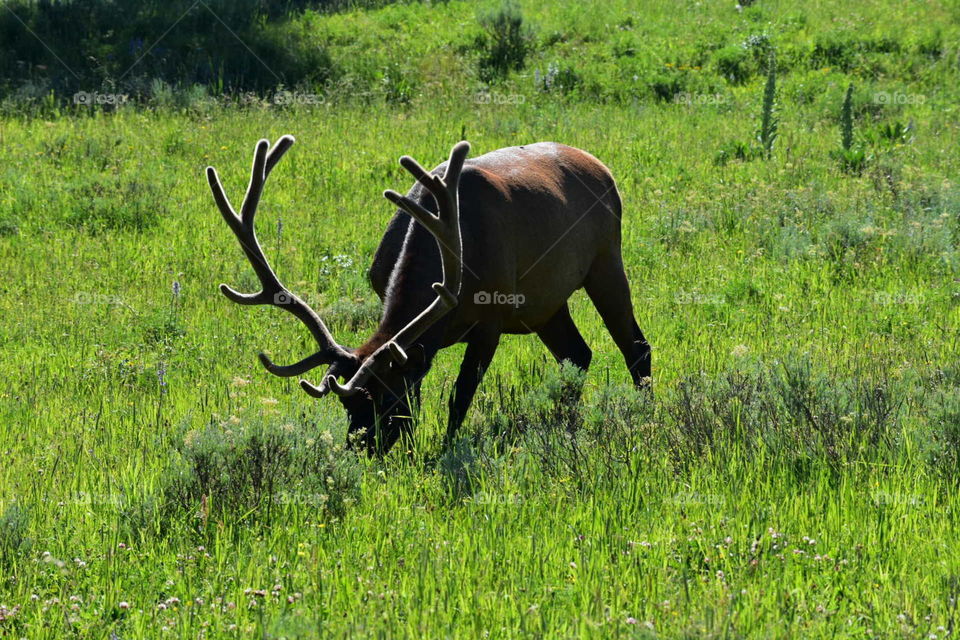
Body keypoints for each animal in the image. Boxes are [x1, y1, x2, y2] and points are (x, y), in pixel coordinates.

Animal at [206, 136, 651, 454]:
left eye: (386, 401)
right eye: (347, 405)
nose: (358, 450)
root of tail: (601, 166)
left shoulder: (491, 320)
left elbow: (460, 396)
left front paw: (445, 448)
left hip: (606, 257)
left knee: (635, 345)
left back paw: (645, 416)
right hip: (547, 304)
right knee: (578, 354)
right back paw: (566, 419)